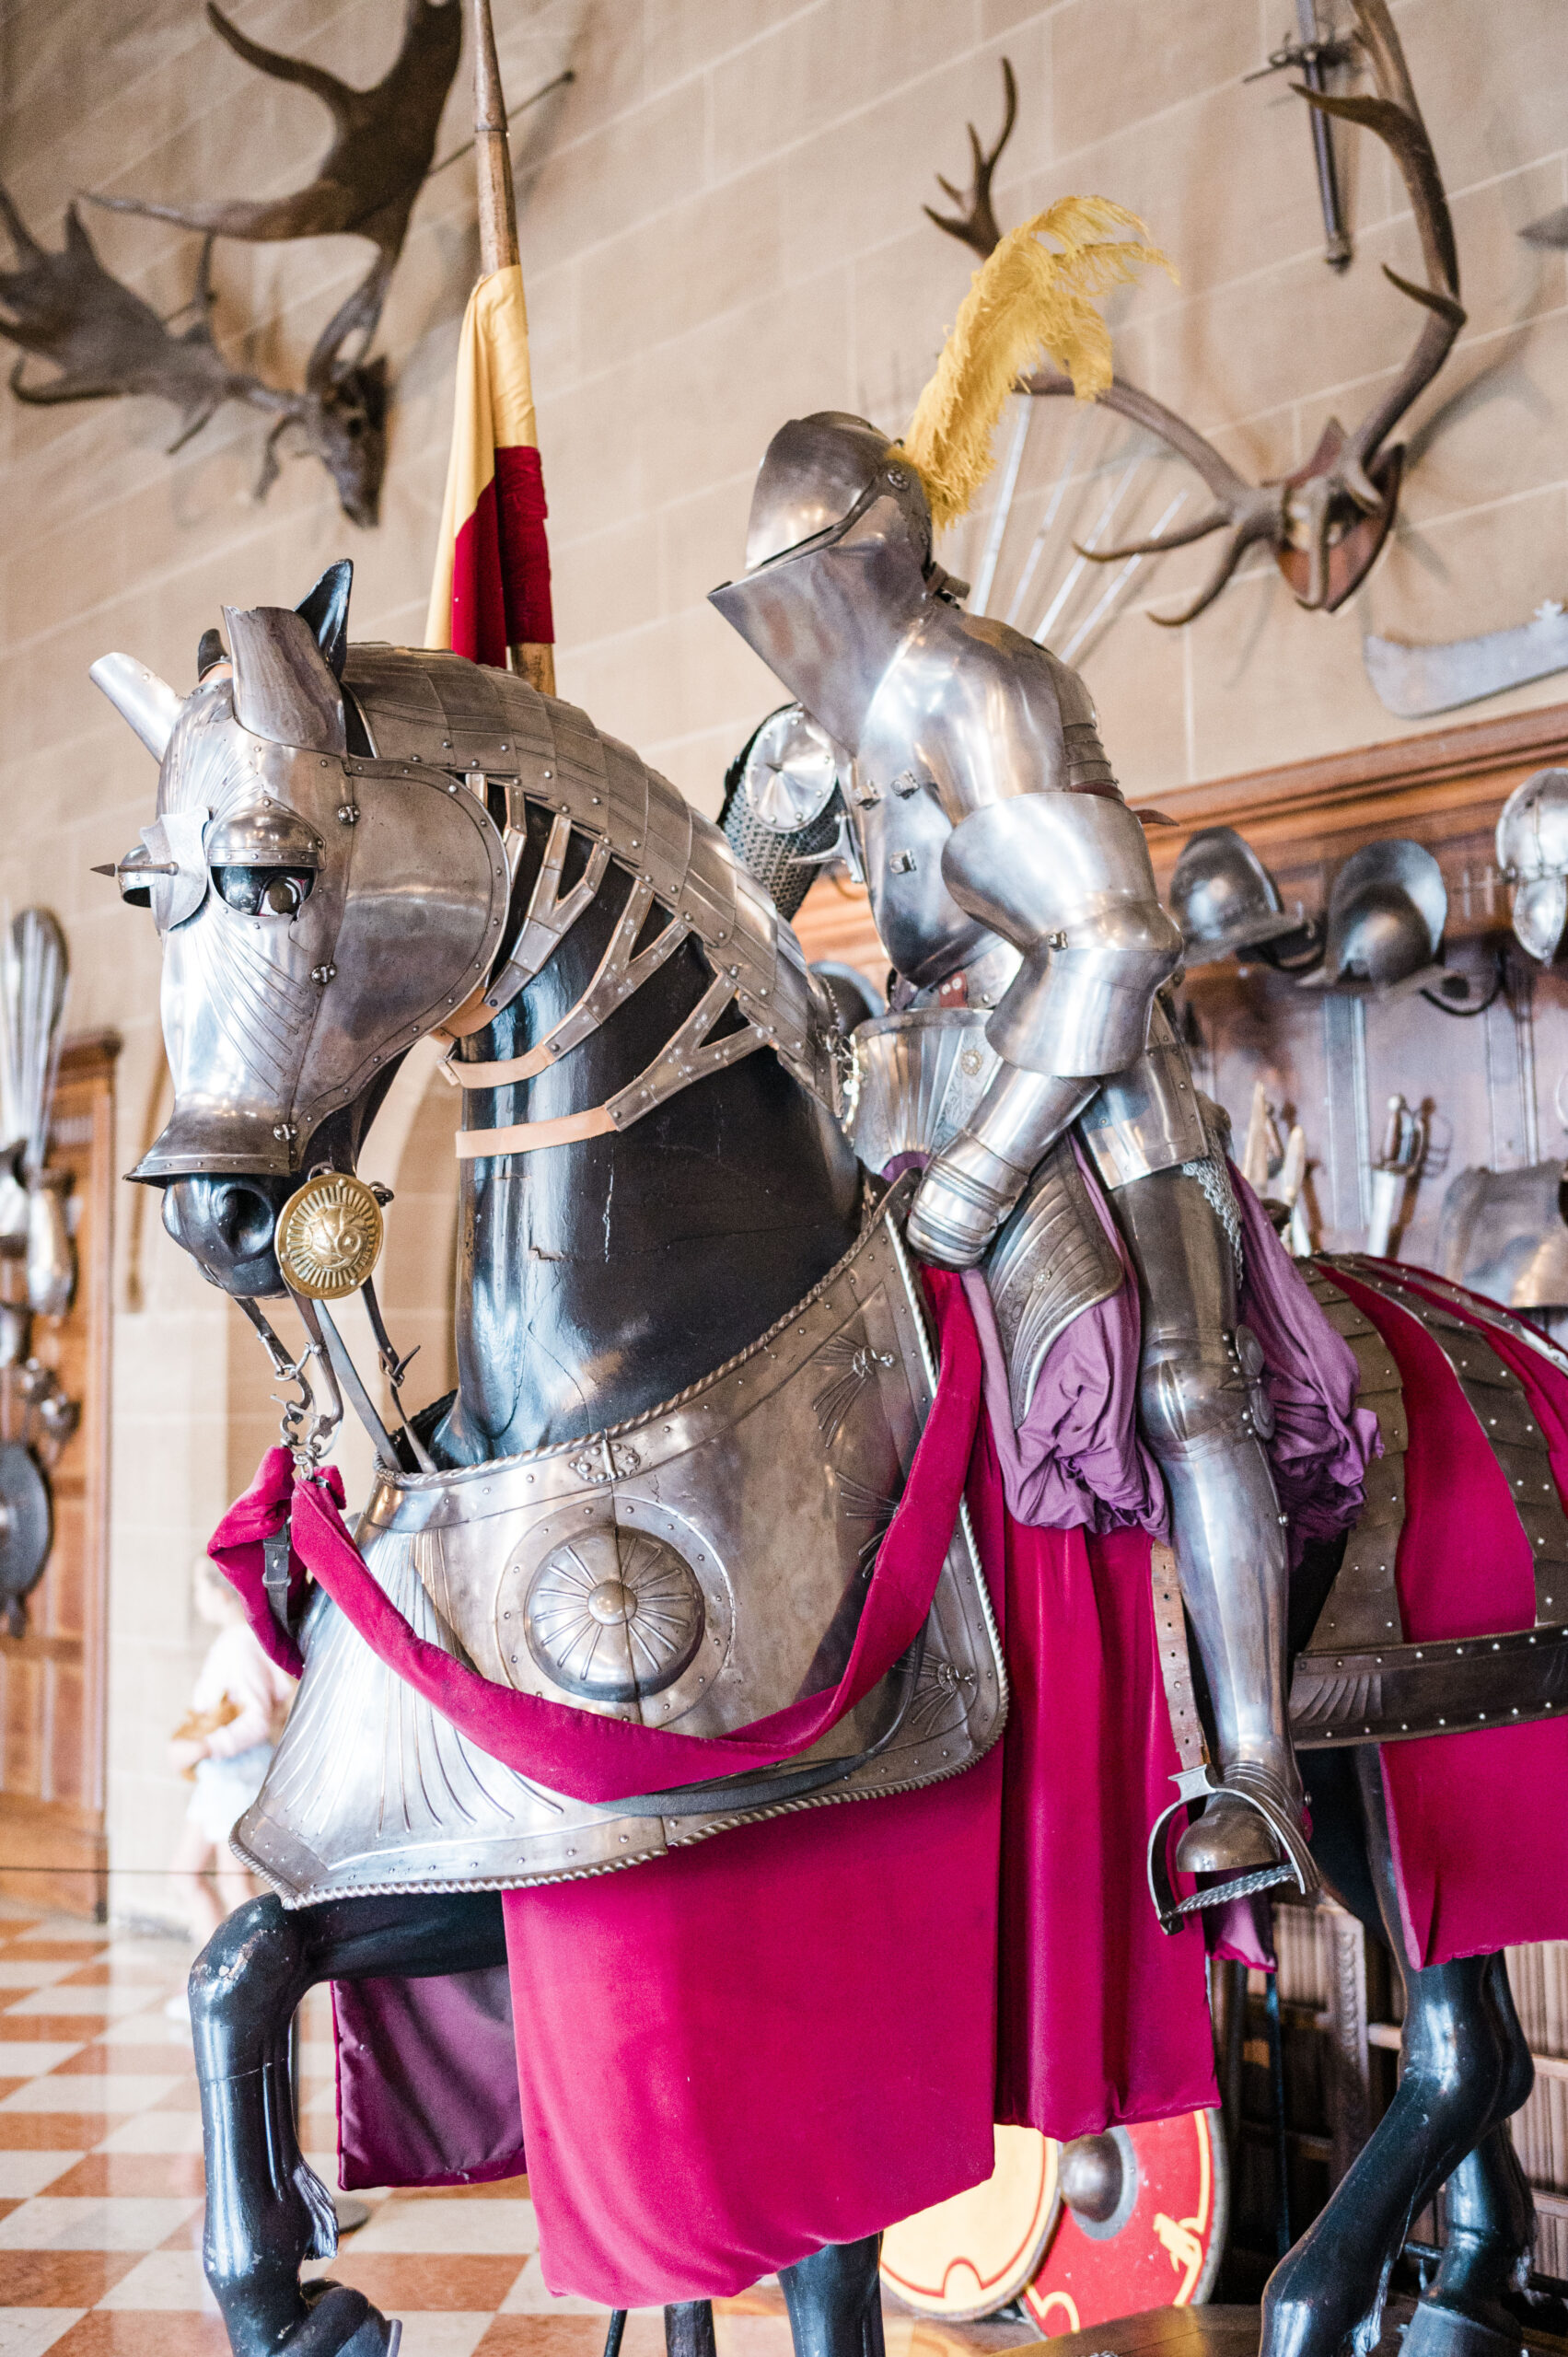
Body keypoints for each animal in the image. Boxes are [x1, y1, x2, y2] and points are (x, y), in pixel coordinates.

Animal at [88, 556, 1568, 2357]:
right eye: (147, 895)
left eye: (272, 873)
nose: (213, 1218)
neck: (637, 1343)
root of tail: (1508, 1333)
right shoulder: (533, 1855)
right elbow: (238, 1957)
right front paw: (296, 2301)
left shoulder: (804, 1909)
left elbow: (818, 2268)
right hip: (1385, 1796)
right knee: (1474, 2060)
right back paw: (1441, 2298)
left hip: (1439, 1765)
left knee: (1452, 2029)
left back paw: (1310, 2287)